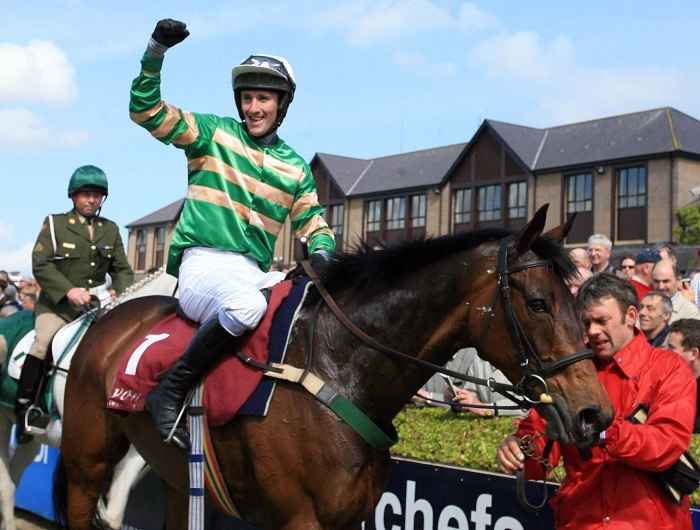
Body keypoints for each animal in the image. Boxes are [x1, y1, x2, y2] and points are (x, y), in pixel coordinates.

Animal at [56, 206, 612, 528]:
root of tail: (107, 318)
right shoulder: (302, 519)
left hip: (175, 474)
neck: (339, 369)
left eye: (578, 299)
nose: (595, 413)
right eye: (539, 303)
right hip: (86, 463)